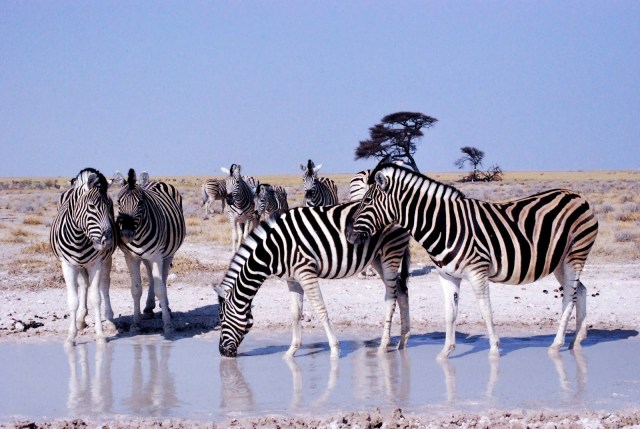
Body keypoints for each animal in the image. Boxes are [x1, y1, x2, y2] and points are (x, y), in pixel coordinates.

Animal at [50, 168, 118, 344]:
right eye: (92, 206)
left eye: (109, 206)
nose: (108, 241)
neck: (79, 238)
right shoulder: (67, 265)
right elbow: (73, 300)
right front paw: (71, 336)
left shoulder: (96, 264)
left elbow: (96, 298)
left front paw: (100, 335)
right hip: (79, 265)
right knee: (83, 284)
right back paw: (81, 319)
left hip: (106, 260)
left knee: (104, 285)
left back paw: (109, 320)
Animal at [115, 168, 186, 336]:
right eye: (119, 202)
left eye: (140, 203)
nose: (126, 234)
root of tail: (156, 182)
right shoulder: (131, 258)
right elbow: (135, 290)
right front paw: (135, 324)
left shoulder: (157, 256)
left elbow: (161, 289)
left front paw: (168, 325)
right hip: (148, 258)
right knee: (151, 276)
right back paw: (148, 308)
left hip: (168, 253)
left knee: (163, 278)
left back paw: (166, 307)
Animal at [213, 201, 411, 358]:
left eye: (221, 319)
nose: (222, 353)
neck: (273, 250)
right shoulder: (292, 279)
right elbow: (295, 313)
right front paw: (291, 352)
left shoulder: (306, 272)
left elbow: (320, 309)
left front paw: (334, 350)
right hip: (377, 257)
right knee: (401, 290)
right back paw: (402, 341)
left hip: (391, 252)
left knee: (391, 296)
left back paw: (383, 346)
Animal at [347, 163, 599, 359]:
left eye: (367, 201)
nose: (350, 237)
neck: (444, 225)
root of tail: (578, 196)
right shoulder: (447, 275)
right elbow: (450, 313)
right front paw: (445, 353)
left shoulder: (478, 271)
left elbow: (486, 310)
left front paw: (494, 350)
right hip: (558, 261)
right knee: (580, 290)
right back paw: (577, 340)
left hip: (575, 253)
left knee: (569, 296)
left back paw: (557, 344)